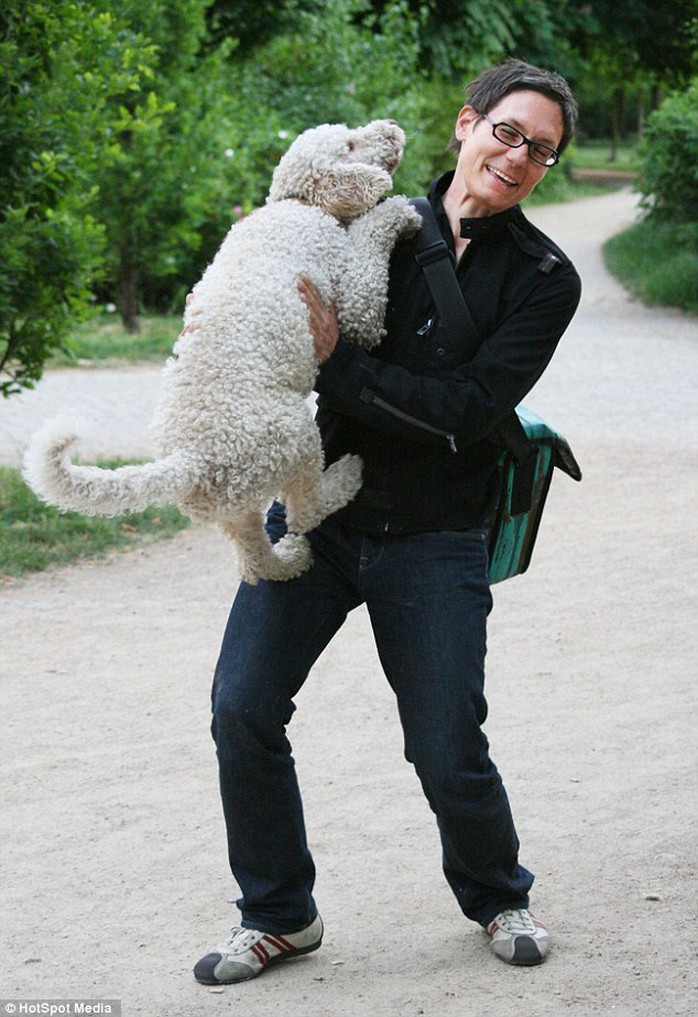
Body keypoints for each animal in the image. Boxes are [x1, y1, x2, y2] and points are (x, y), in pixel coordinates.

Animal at [23, 117, 421, 581]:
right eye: (351, 143)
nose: (391, 125)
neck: (299, 203)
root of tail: (191, 460)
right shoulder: (353, 297)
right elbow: (368, 258)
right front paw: (398, 212)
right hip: (295, 437)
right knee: (303, 511)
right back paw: (347, 476)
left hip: (235, 507)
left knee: (255, 559)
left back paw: (291, 558)